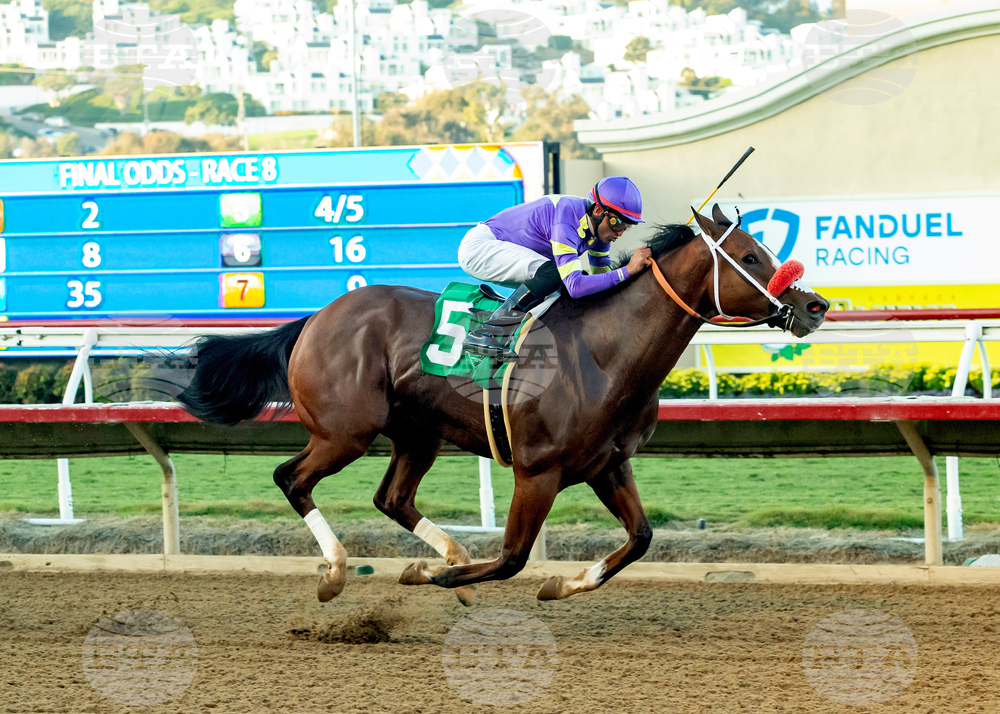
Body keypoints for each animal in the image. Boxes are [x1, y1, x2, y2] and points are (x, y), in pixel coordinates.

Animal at [177, 205, 829, 605]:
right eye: (750, 256)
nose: (815, 305)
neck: (603, 352)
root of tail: (315, 318)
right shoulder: (537, 471)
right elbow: (513, 557)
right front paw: (434, 575)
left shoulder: (608, 464)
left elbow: (641, 538)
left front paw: (559, 584)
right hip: (346, 433)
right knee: (292, 479)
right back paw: (339, 572)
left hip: (418, 433)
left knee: (391, 498)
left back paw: (444, 558)